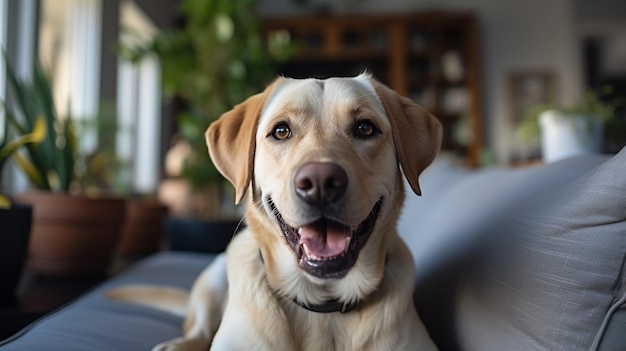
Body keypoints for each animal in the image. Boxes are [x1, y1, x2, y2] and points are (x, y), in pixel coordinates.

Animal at [108, 73, 438, 350]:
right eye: (281, 131)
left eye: (365, 128)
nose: (320, 182)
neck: (323, 305)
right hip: (214, 275)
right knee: (199, 330)